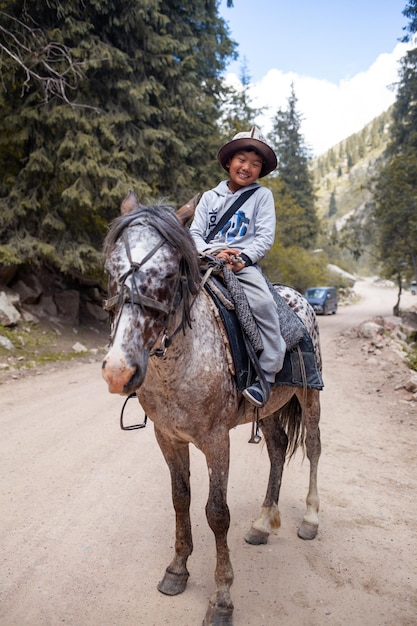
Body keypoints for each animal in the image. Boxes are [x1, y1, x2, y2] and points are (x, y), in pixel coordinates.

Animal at [101, 191, 322, 624]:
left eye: (171, 274)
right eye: (111, 269)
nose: (119, 371)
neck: (181, 364)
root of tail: (299, 298)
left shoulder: (217, 441)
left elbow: (217, 513)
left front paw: (221, 599)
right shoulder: (168, 437)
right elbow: (180, 499)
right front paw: (176, 570)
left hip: (311, 398)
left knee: (314, 447)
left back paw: (309, 519)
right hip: (269, 410)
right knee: (277, 448)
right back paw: (262, 524)